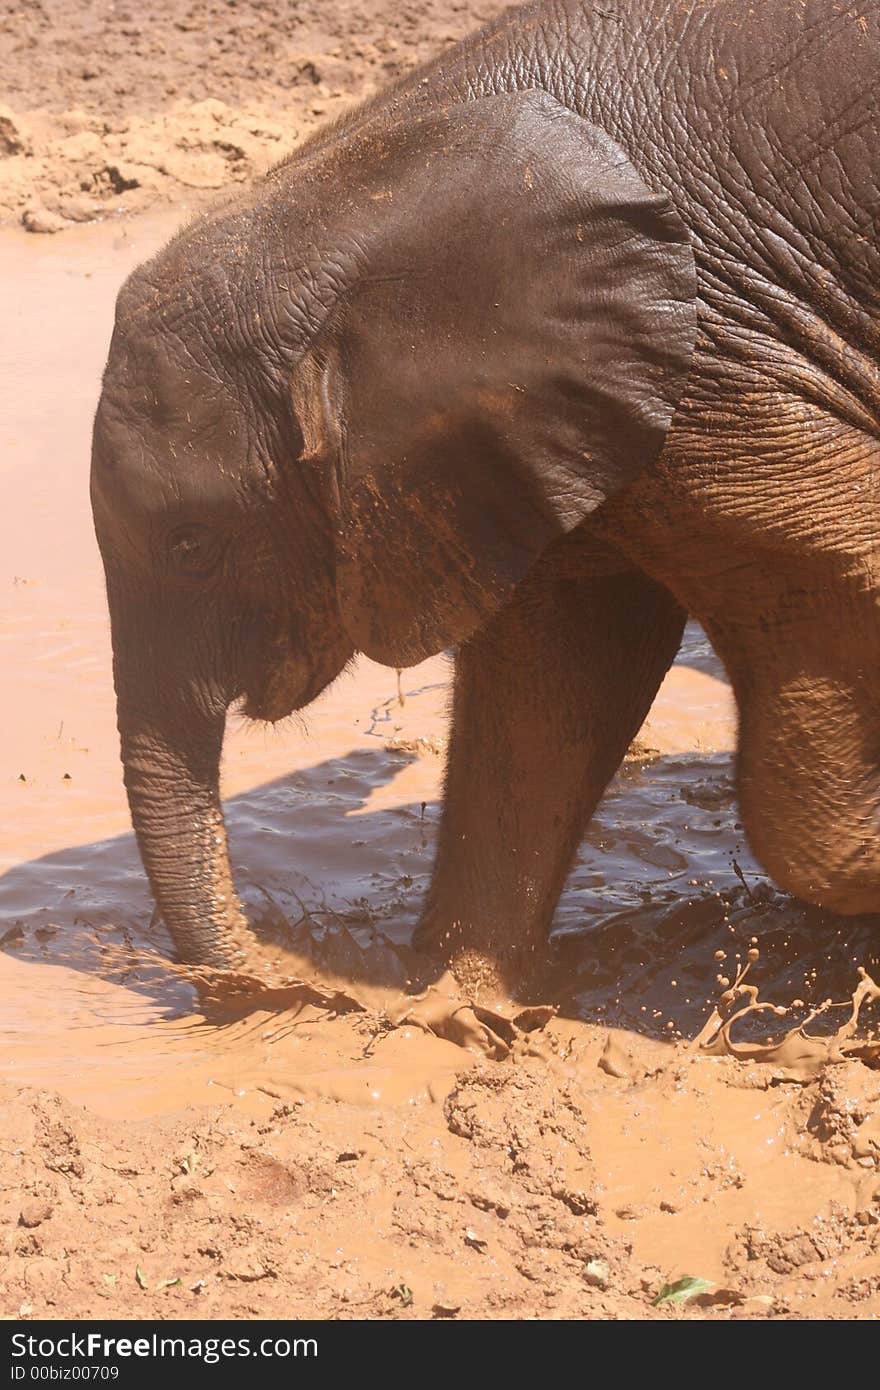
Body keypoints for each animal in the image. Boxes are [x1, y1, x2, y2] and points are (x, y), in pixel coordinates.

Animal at [88, 0, 878, 989]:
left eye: (192, 545)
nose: (281, 976)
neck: (339, 186)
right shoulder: (536, 423)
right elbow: (549, 676)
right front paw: (456, 1001)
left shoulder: (723, 370)